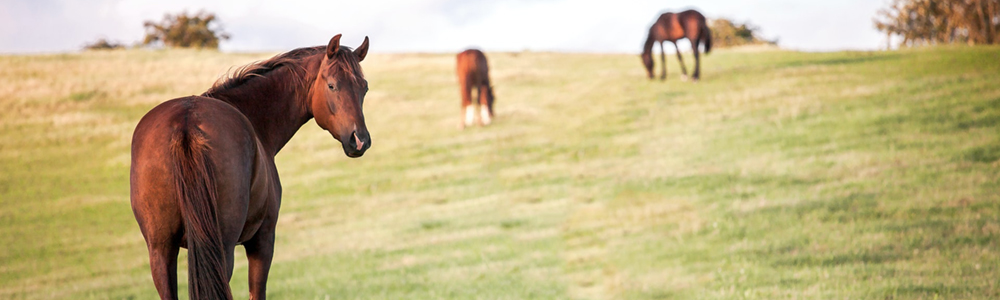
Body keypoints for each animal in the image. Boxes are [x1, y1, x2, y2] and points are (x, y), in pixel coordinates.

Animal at [129, 34, 372, 298]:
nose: (360, 140)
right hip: (221, 249)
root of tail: (187, 122)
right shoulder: (262, 241)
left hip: (161, 251)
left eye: (364, 87)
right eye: (332, 86)